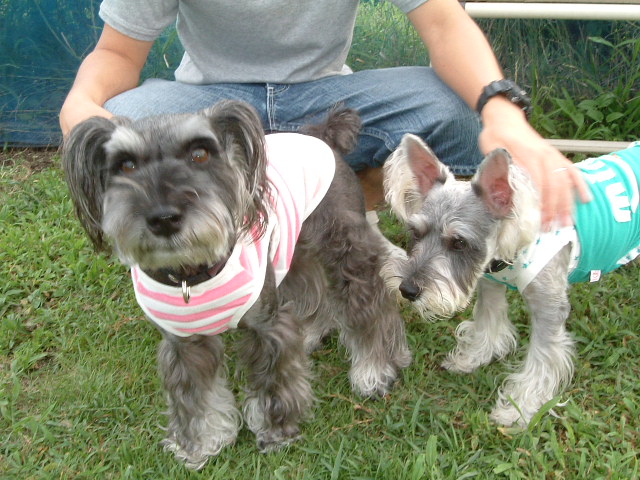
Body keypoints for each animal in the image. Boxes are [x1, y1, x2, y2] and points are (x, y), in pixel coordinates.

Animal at [62, 101, 411, 469]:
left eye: (200, 154)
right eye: (125, 165)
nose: (164, 218)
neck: (191, 274)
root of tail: (319, 134)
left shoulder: (265, 326)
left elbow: (273, 382)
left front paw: (276, 433)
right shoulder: (183, 343)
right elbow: (194, 397)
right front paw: (199, 445)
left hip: (345, 248)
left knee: (369, 303)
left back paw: (375, 370)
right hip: (293, 248)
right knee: (310, 287)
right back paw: (310, 333)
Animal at [383, 134, 640, 426]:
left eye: (459, 242)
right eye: (416, 232)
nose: (408, 289)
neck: (513, 243)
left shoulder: (549, 310)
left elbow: (541, 360)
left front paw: (518, 410)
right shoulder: (490, 287)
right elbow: (488, 321)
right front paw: (472, 358)